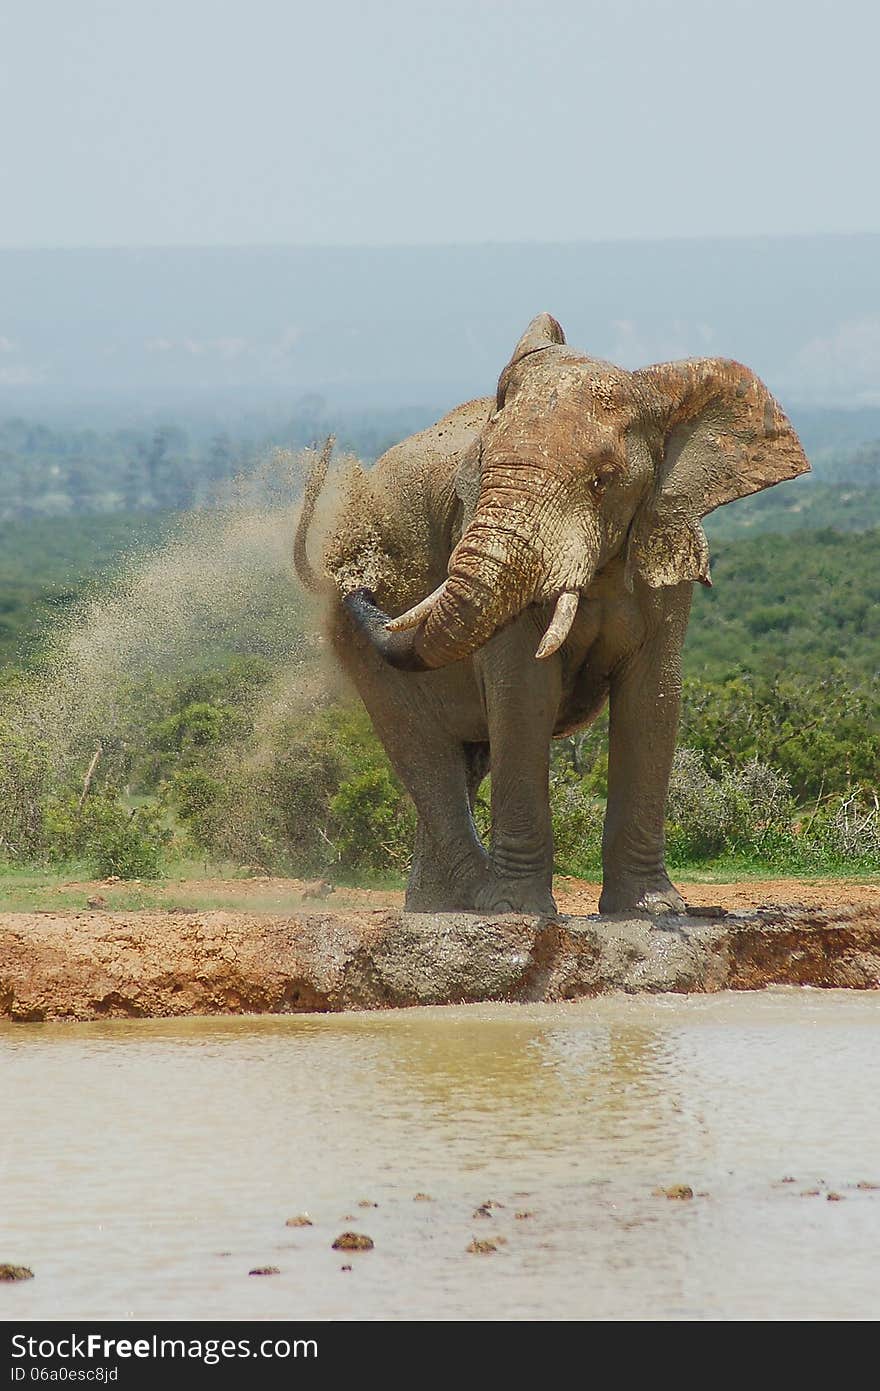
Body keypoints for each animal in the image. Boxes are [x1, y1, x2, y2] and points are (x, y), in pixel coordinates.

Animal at [297, 318, 811, 918]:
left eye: (603, 480)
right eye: (481, 468)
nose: (367, 578)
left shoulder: (664, 540)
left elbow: (653, 696)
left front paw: (652, 910)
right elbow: (523, 692)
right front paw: (520, 912)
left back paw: (445, 907)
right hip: (357, 648)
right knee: (422, 752)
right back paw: (472, 901)